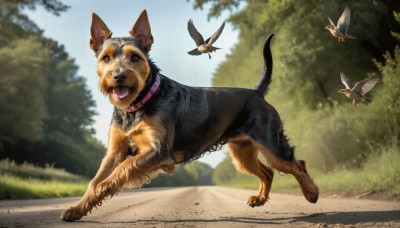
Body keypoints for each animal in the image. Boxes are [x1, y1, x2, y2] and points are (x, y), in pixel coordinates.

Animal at [59, 9, 318, 222]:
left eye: (135, 57)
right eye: (106, 58)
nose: (119, 76)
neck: (140, 103)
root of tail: (257, 92)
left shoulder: (157, 151)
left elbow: (119, 172)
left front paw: (99, 192)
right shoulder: (115, 151)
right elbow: (95, 180)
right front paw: (77, 209)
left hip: (271, 144)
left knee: (297, 164)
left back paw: (312, 193)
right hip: (242, 151)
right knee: (268, 172)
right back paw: (260, 199)